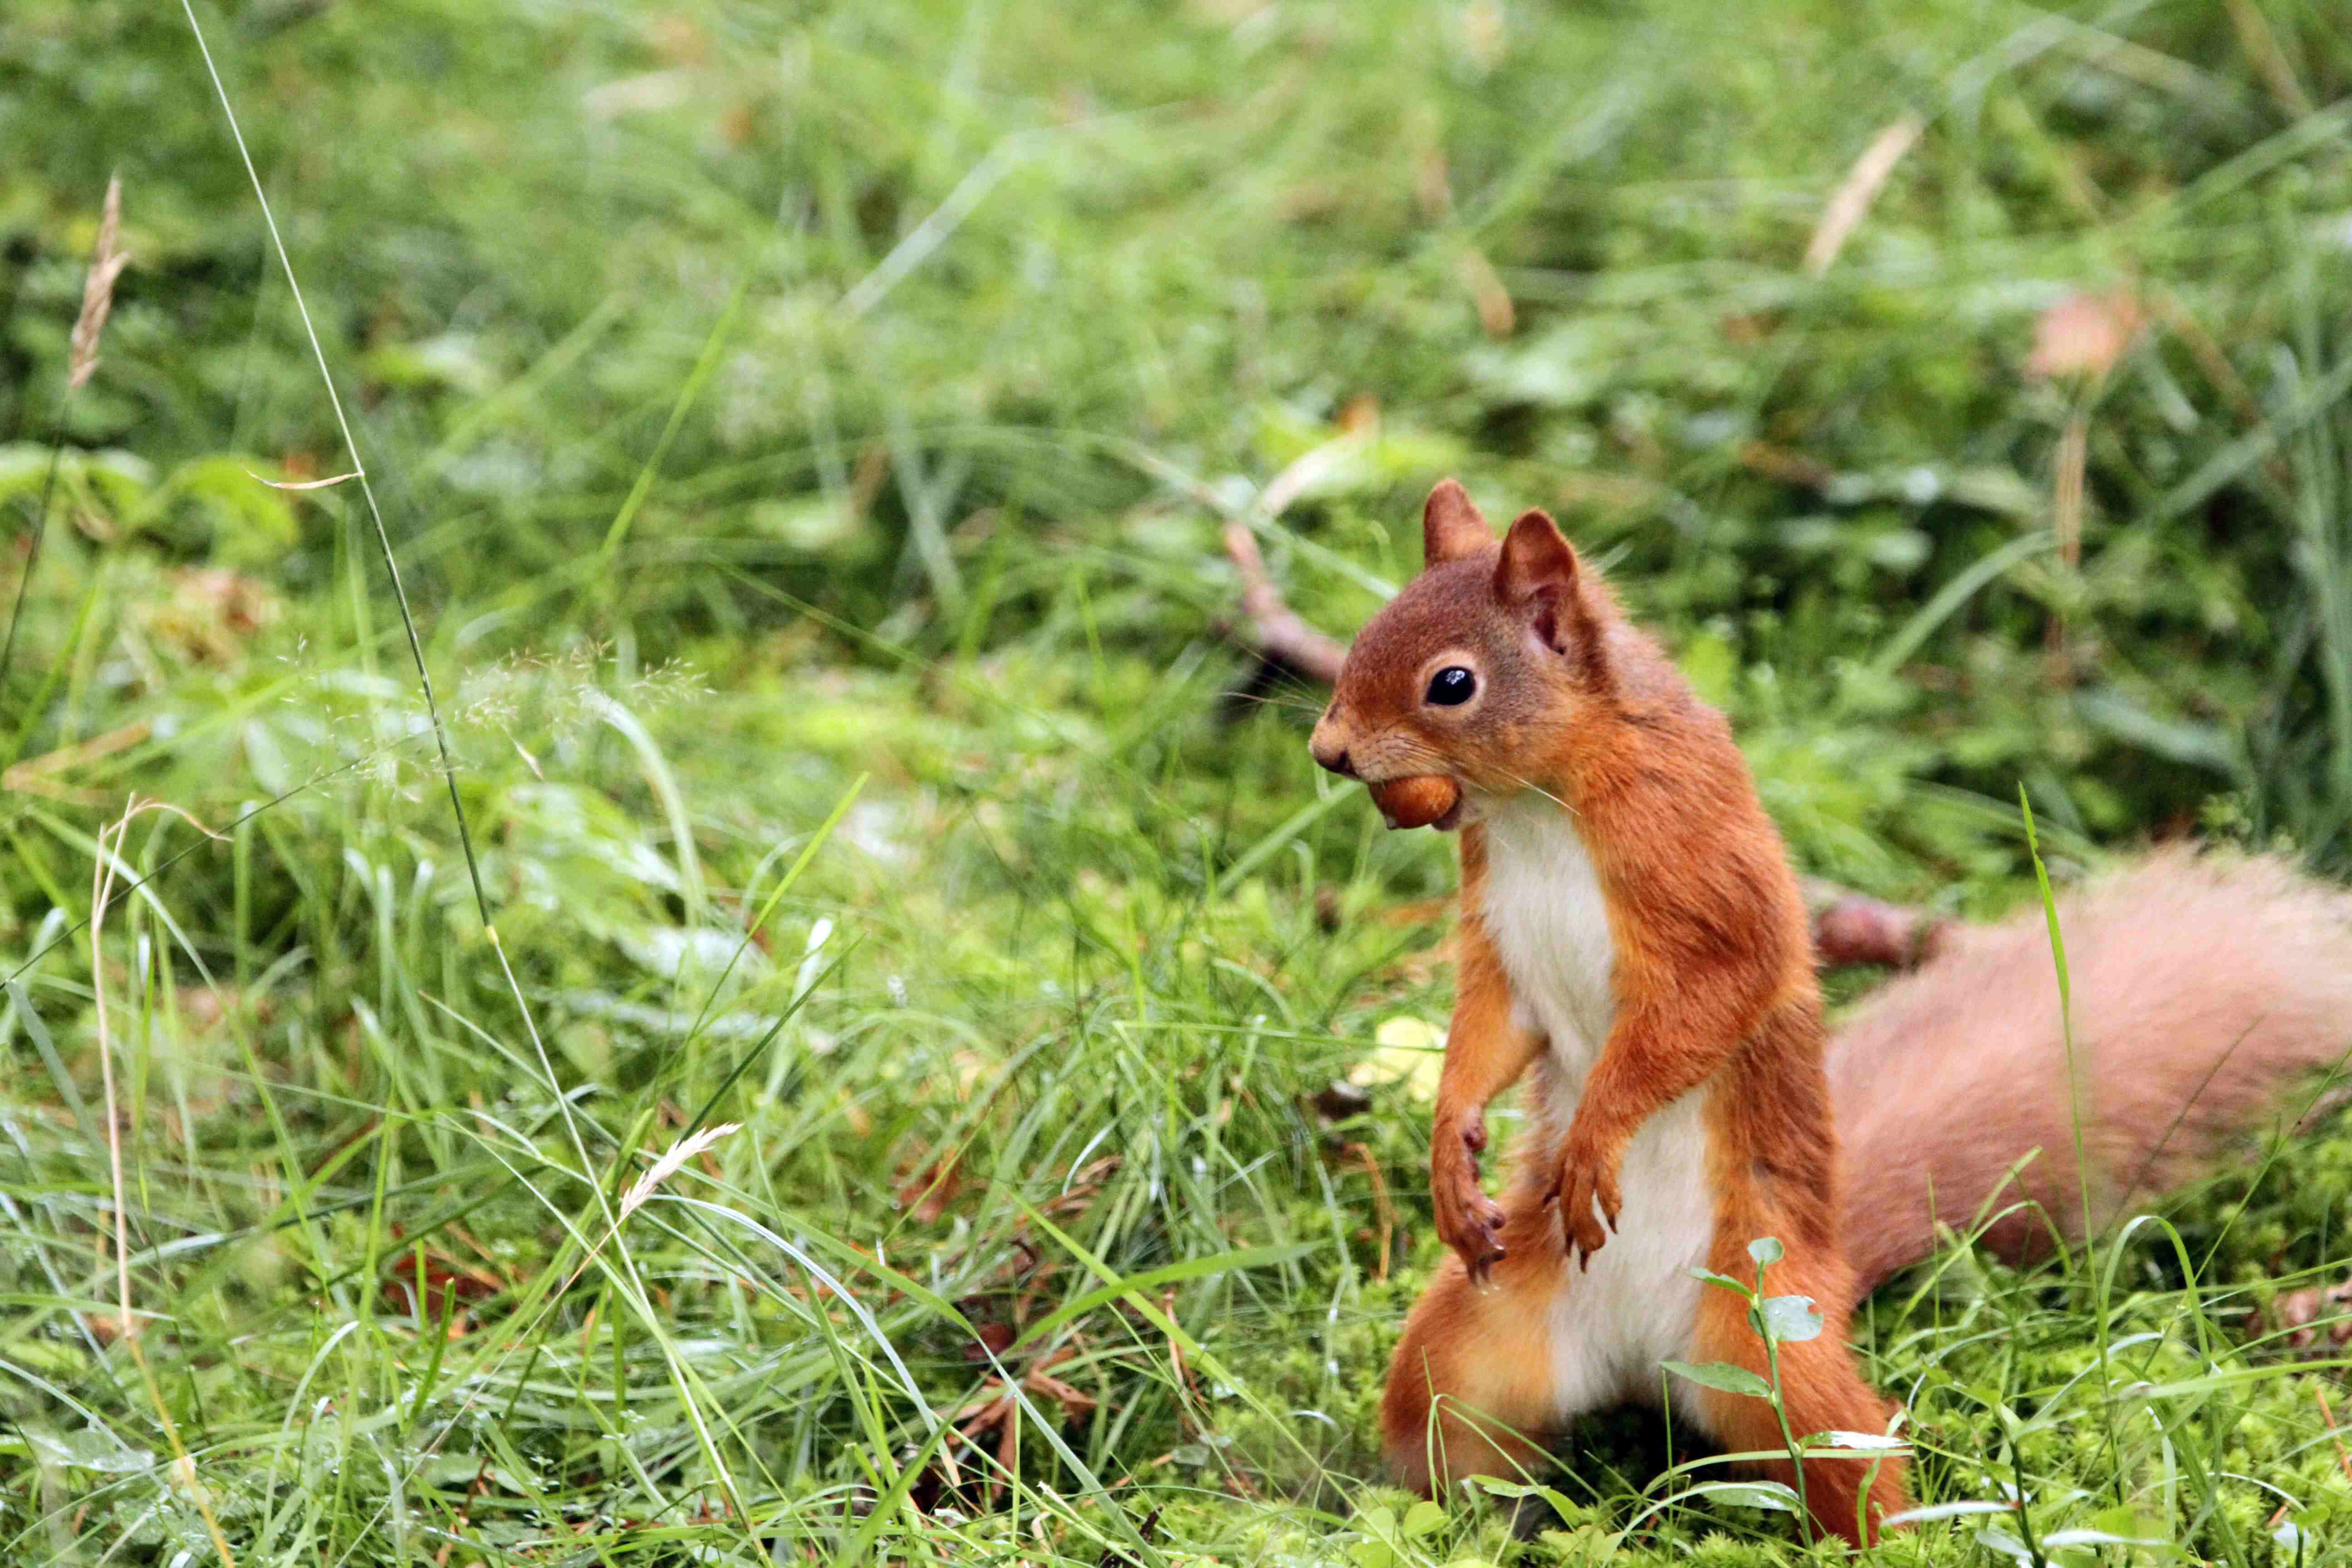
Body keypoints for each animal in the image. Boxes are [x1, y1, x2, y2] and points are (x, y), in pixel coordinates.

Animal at [1308, 479, 2352, 1545]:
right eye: (1363, 636)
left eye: (1451, 684)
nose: (1328, 750)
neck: (1537, 805)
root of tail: (1646, 1365)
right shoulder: (1501, 946)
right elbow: (1485, 1037)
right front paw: (1450, 1156)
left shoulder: (1705, 883)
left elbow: (1698, 1015)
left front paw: (1596, 1137)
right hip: (1473, 1347)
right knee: (1458, 1441)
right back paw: (1461, 1527)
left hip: (1783, 1357)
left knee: (1862, 1469)